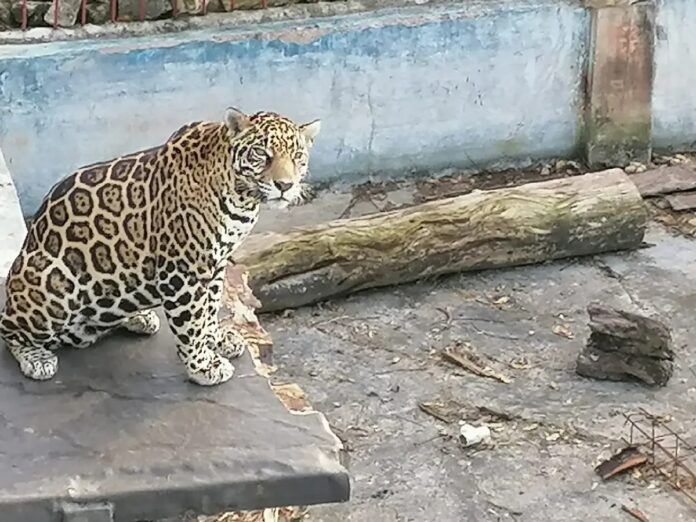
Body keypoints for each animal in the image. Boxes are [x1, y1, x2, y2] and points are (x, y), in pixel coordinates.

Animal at [0, 108, 321, 386]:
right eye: (261, 155)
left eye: (297, 157)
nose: (285, 185)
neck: (242, 198)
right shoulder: (182, 271)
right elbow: (192, 323)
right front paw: (203, 366)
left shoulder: (216, 265)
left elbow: (210, 308)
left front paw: (216, 339)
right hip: (51, 285)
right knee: (9, 328)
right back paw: (37, 358)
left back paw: (138, 318)